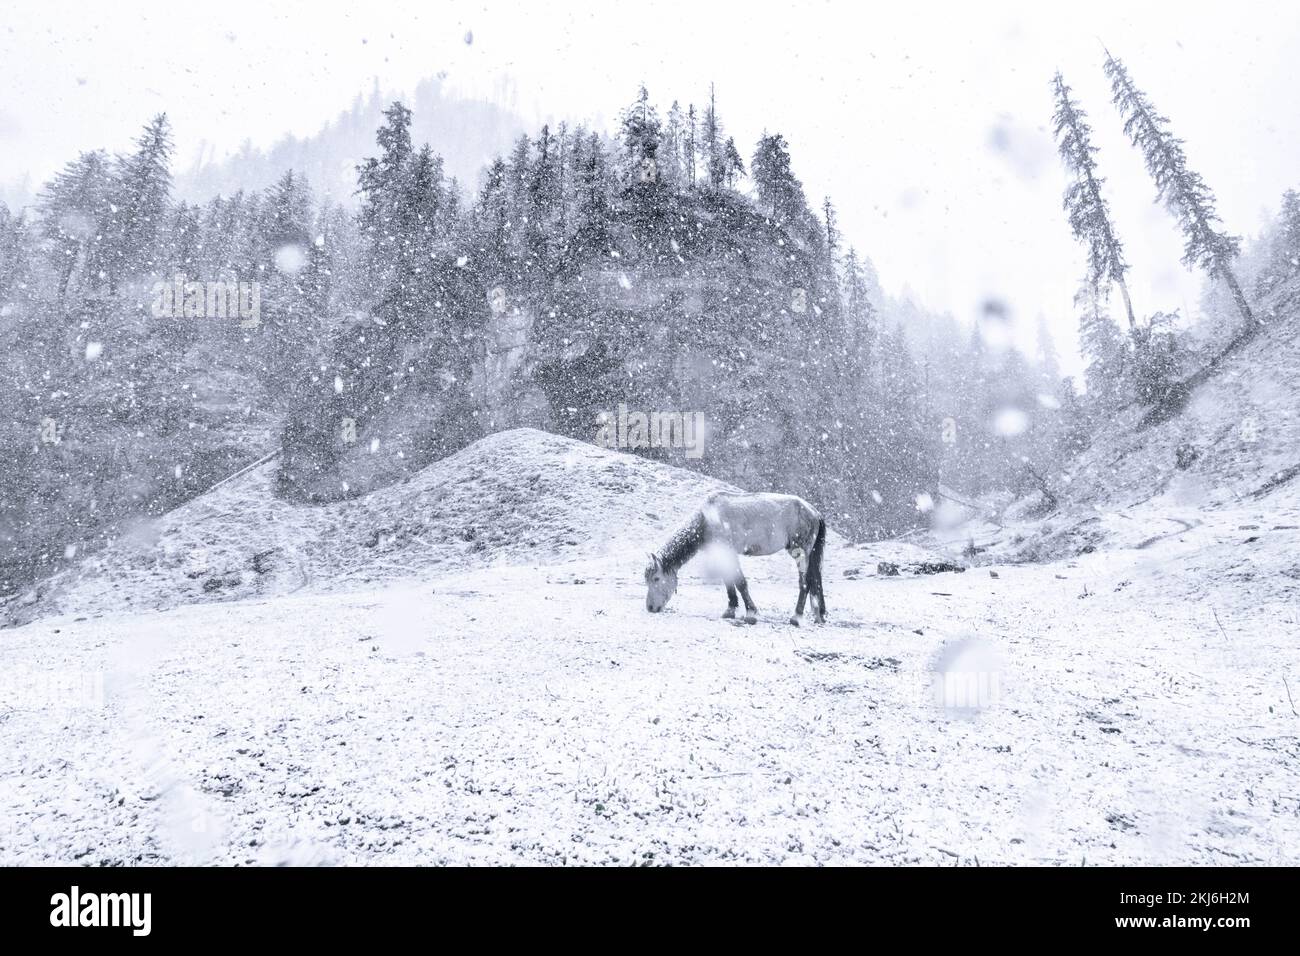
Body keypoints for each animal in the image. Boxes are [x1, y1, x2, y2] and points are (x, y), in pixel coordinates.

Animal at [644, 494, 826, 629]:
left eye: (656, 578)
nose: (650, 608)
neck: (707, 520)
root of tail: (815, 512)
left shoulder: (729, 553)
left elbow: (740, 582)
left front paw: (751, 613)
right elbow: (729, 582)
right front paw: (730, 609)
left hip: (800, 553)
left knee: (805, 583)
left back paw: (796, 617)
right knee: (815, 581)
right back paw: (819, 615)